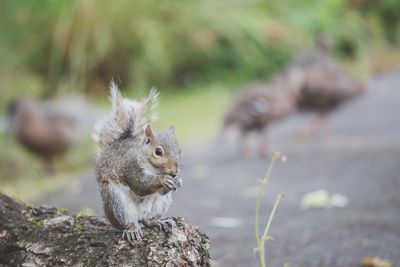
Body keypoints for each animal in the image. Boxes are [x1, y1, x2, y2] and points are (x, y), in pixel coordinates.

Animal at [93, 82, 182, 244]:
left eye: (179, 149)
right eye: (158, 152)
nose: (174, 172)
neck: (154, 169)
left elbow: (161, 190)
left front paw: (178, 181)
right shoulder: (131, 168)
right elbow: (140, 185)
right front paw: (163, 180)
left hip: (159, 204)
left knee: (148, 220)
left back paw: (159, 222)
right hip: (117, 202)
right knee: (128, 221)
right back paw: (133, 230)